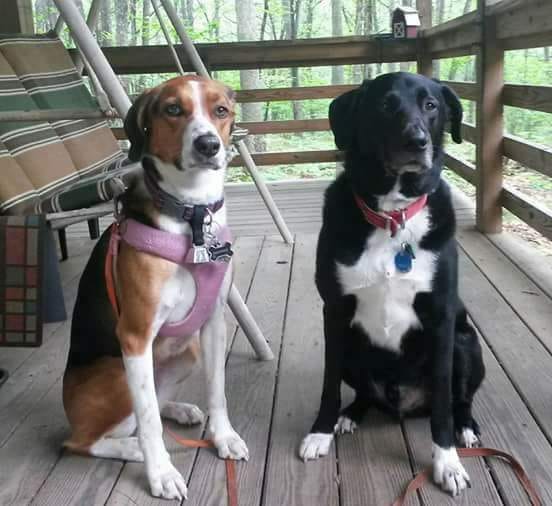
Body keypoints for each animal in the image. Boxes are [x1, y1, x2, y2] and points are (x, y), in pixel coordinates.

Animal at [62, 76, 248, 500]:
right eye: (173, 109)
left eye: (221, 110)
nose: (208, 145)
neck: (192, 217)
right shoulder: (134, 336)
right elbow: (148, 422)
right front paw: (160, 472)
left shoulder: (213, 324)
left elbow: (218, 389)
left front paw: (223, 436)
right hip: (117, 374)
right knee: (82, 442)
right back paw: (132, 448)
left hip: (186, 354)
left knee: (155, 399)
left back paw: (178, 409)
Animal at [299, 72, 485, 497]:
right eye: (385, 105)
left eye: (431, 105)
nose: (417, 141)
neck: (392, 218)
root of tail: (405, 405)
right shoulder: (335, 312)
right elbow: (329, 384)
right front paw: (320, 431)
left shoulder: (441, 318)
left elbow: (444, 405)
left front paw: (446, 461)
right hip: (354, 348)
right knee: (364, 393)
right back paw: (351, 414)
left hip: (465, 342)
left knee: (459, 399)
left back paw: (466, 426)